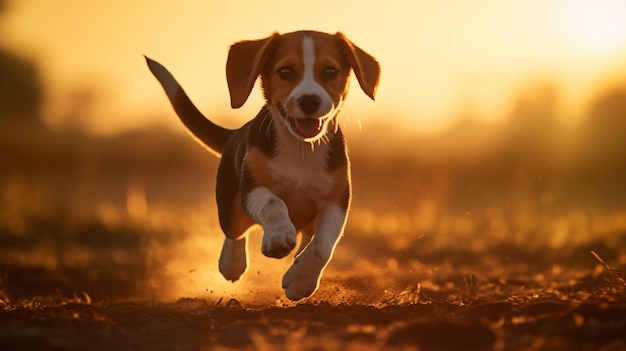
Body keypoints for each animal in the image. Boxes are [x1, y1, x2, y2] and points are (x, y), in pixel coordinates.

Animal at [146, 30, 378, 302]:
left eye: (330, 71)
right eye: (285, 71)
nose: (309, 101)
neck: (300, 148)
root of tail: (236, 132)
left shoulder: (336, 201)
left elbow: (321, 247)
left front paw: (301, 281)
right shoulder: (253, 188)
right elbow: (273, 203)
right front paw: (278, 237)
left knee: (307, 238)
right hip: (230, 206)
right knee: (235, 231)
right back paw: (231, 263)